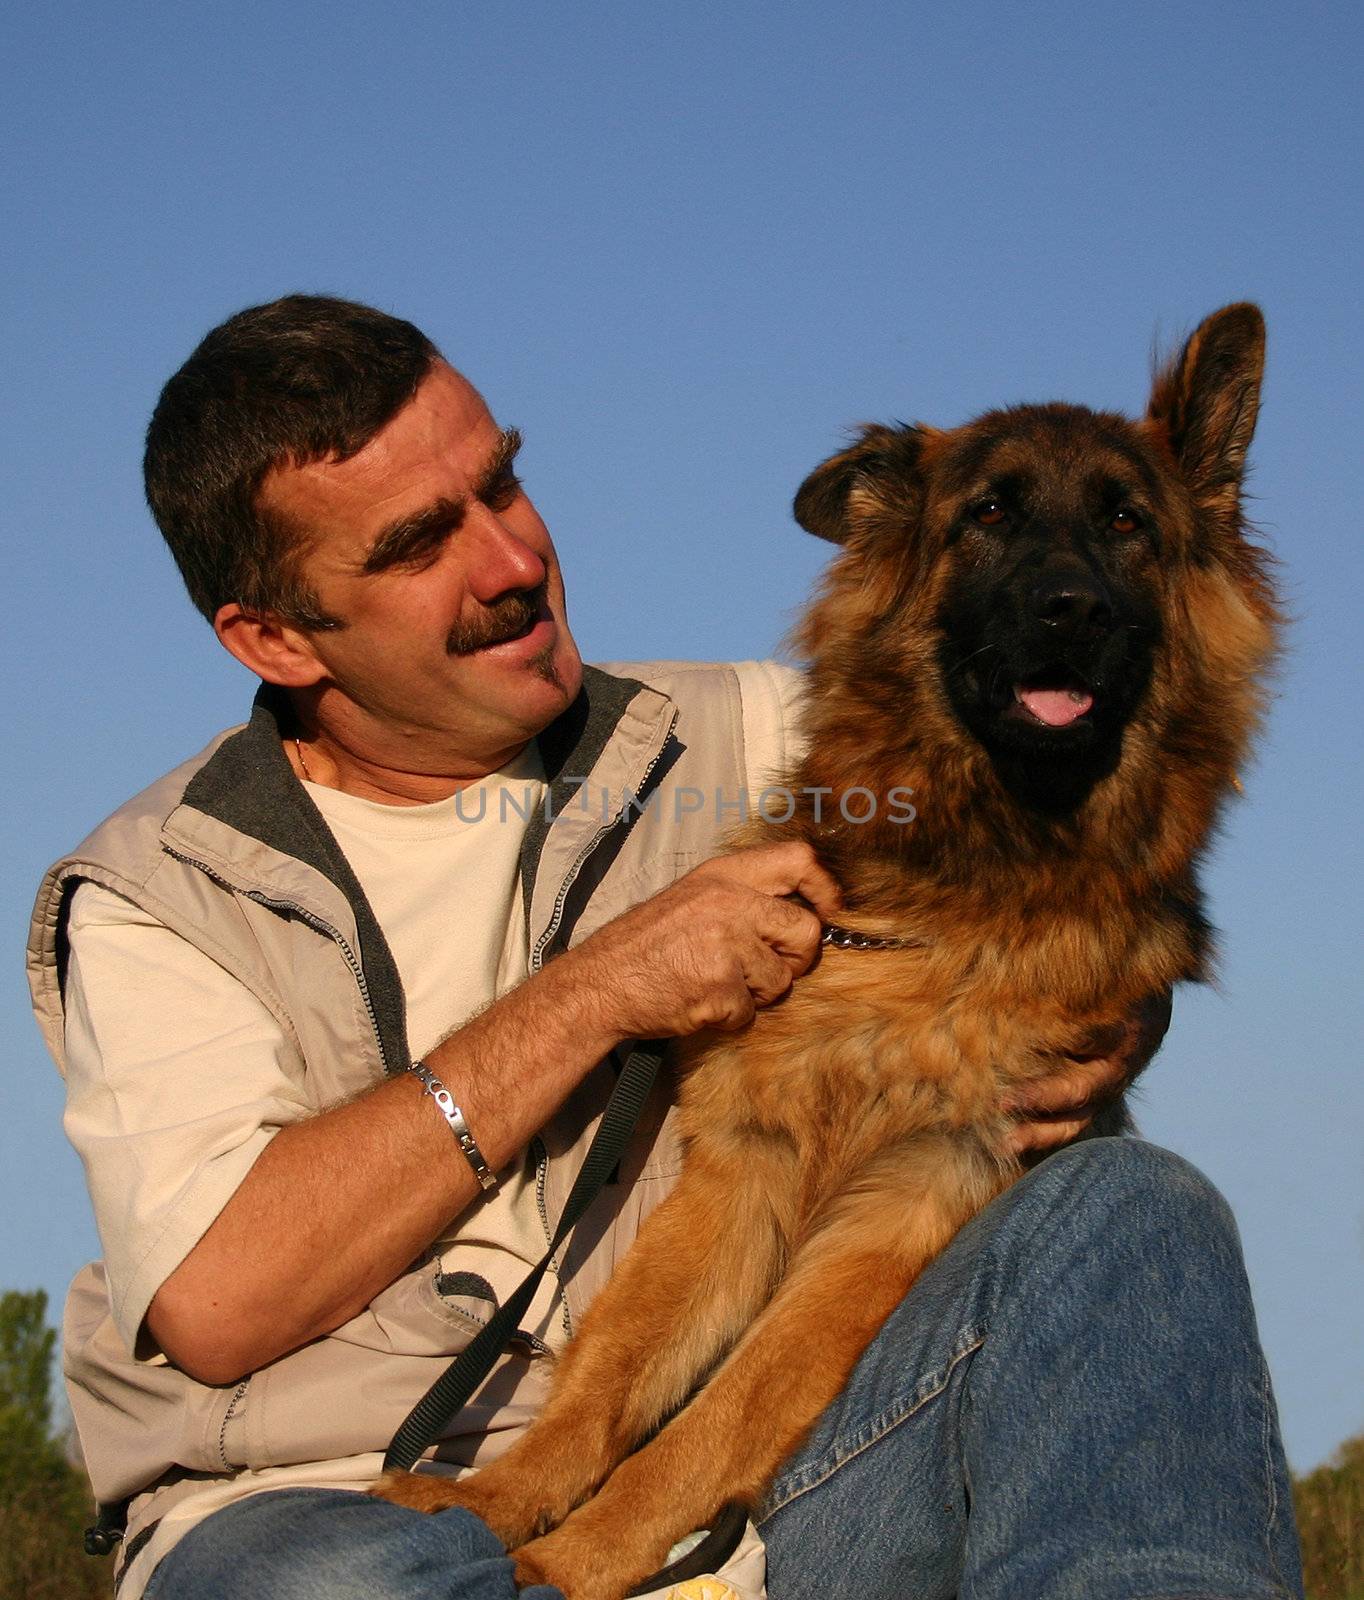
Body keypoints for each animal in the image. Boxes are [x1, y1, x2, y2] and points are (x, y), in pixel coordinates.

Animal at [376, 305, 1280, 1593]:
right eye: (987, 514)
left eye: (1125, 524)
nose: (1072, 608)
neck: (954, 899)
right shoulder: (741, 1165)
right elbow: (610, 1378)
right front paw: (495, 1504)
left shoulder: (901, 1204)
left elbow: (717, 1417)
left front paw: (573, 1560)